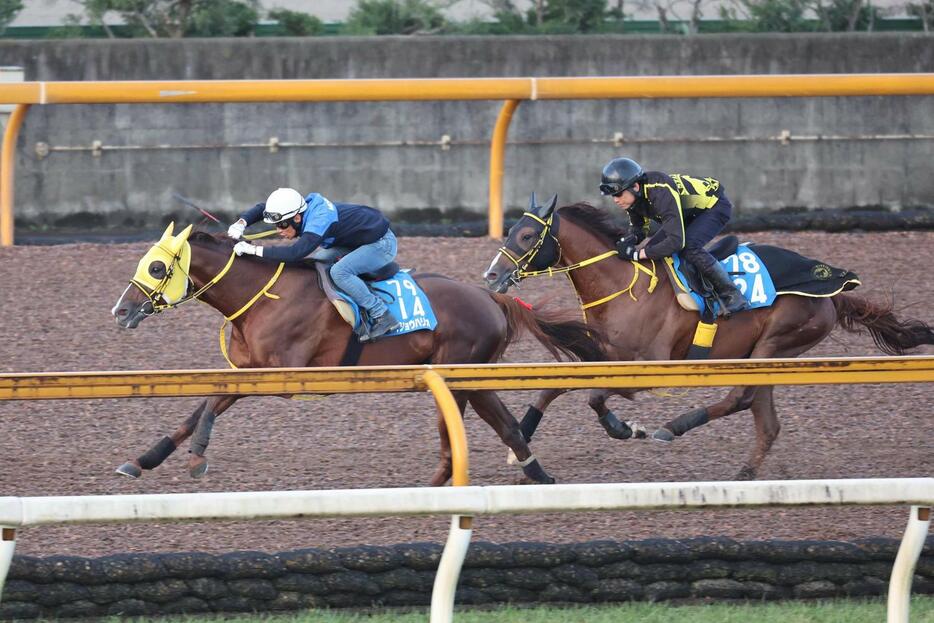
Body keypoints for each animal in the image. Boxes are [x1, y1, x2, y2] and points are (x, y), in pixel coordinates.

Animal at [111, 224, 608, 488]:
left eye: (156, 266)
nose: (120, 310)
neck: (263, 295)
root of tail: (491, 297)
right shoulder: (248, 369)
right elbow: (197, 407)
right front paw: (142, 460)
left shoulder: (278, 373)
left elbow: (212, 403)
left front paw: (196, 457)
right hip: (465, 378)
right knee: (497, 427)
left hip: (461, 374)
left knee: (481, 429)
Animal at [482, 197, 934, 480]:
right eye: (511, 231)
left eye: (527, 236)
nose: (491, 275)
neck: (624, 285)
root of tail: (836, 291)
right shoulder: (602, 354)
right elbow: (553, 387)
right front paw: (521, 439)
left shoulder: (651, 367)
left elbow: (596, 398)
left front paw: (627, 428)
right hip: (766, 354)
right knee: (765, 420)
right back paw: (744, 475)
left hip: (777, 341)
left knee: (742, 397)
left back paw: (673, 427)